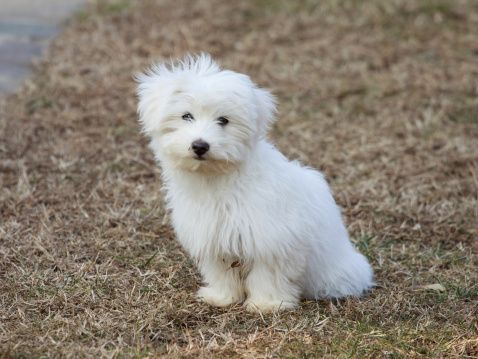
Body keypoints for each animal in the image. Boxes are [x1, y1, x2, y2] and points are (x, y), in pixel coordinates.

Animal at [135, 53, 374, 312]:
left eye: (223, 120)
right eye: (186, 116)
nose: (200, 145)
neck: (217, 178)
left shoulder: (272, 239)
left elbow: (267, 274)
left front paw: (266, 304)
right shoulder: (212, 235)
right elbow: (221, 272)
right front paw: (222, 297)